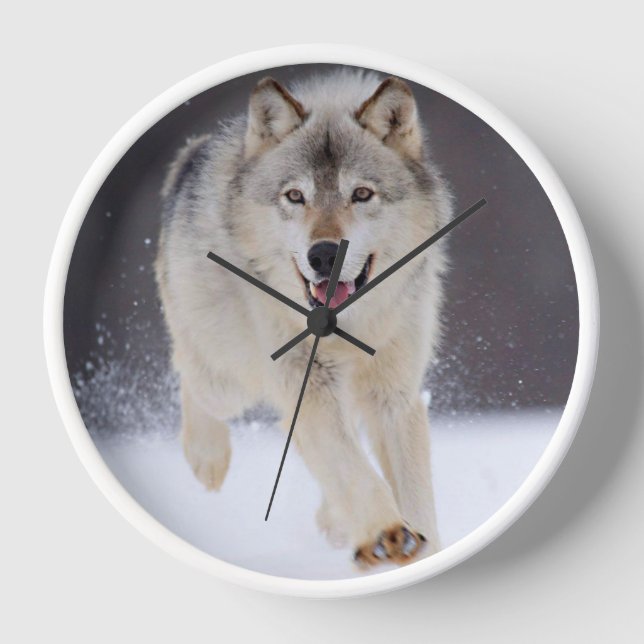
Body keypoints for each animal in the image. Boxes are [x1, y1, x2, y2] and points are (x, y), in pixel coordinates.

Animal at [155, 68, 452, 567]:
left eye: (361, 194)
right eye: (295, 196)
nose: (325, 254)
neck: (346, 330)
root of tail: (191, 157)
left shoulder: (394, 395)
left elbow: (413, 491)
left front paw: (417, 546)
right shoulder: (307, 382)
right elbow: (353, 468)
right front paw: (386, 533)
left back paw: (335, 522)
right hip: (228, 379)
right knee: (189, 375)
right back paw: (207, 458)